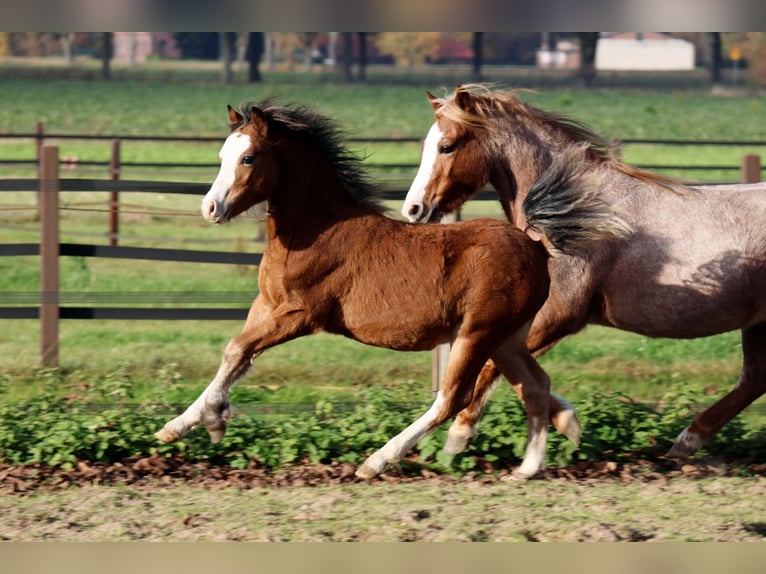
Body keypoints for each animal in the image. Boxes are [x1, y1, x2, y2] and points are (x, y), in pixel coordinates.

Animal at [153, 99, 625, 480]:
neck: (314, 228)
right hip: (505, 337)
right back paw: (531, 464)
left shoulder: (302, 314)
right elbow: (235, 356)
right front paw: (194, 423)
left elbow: (237, 349)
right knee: (535, 386)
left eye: (248, 157)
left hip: (477, 334)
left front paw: (200, 422)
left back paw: (377, 461)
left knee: (452, 399)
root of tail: (536, 244)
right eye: (221, 155)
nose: (210, 207)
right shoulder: (265, 306)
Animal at [402, 83, 766, 460]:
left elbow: (492, 367)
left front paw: (459, 434)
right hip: (756, 324)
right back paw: (686, 441)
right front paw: (567, 422)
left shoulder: (556, 315)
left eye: (447, 146)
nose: (412, 209)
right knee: (754, 380)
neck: (573, 212)